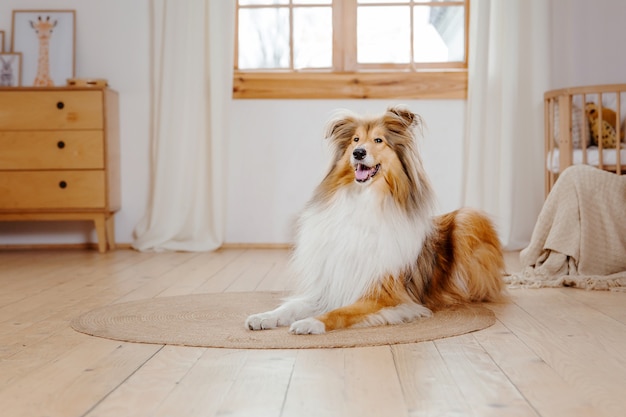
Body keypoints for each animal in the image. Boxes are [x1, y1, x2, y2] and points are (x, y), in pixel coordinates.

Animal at [244, 105, 502, 334]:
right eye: (355, 140)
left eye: (379, 140)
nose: (358, 152)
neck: (364, 200)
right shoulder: (328, 287)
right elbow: (291, 306)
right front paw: (264, 317)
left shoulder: (385, 295)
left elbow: (341, 312)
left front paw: (311, 323)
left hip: (468, 218)